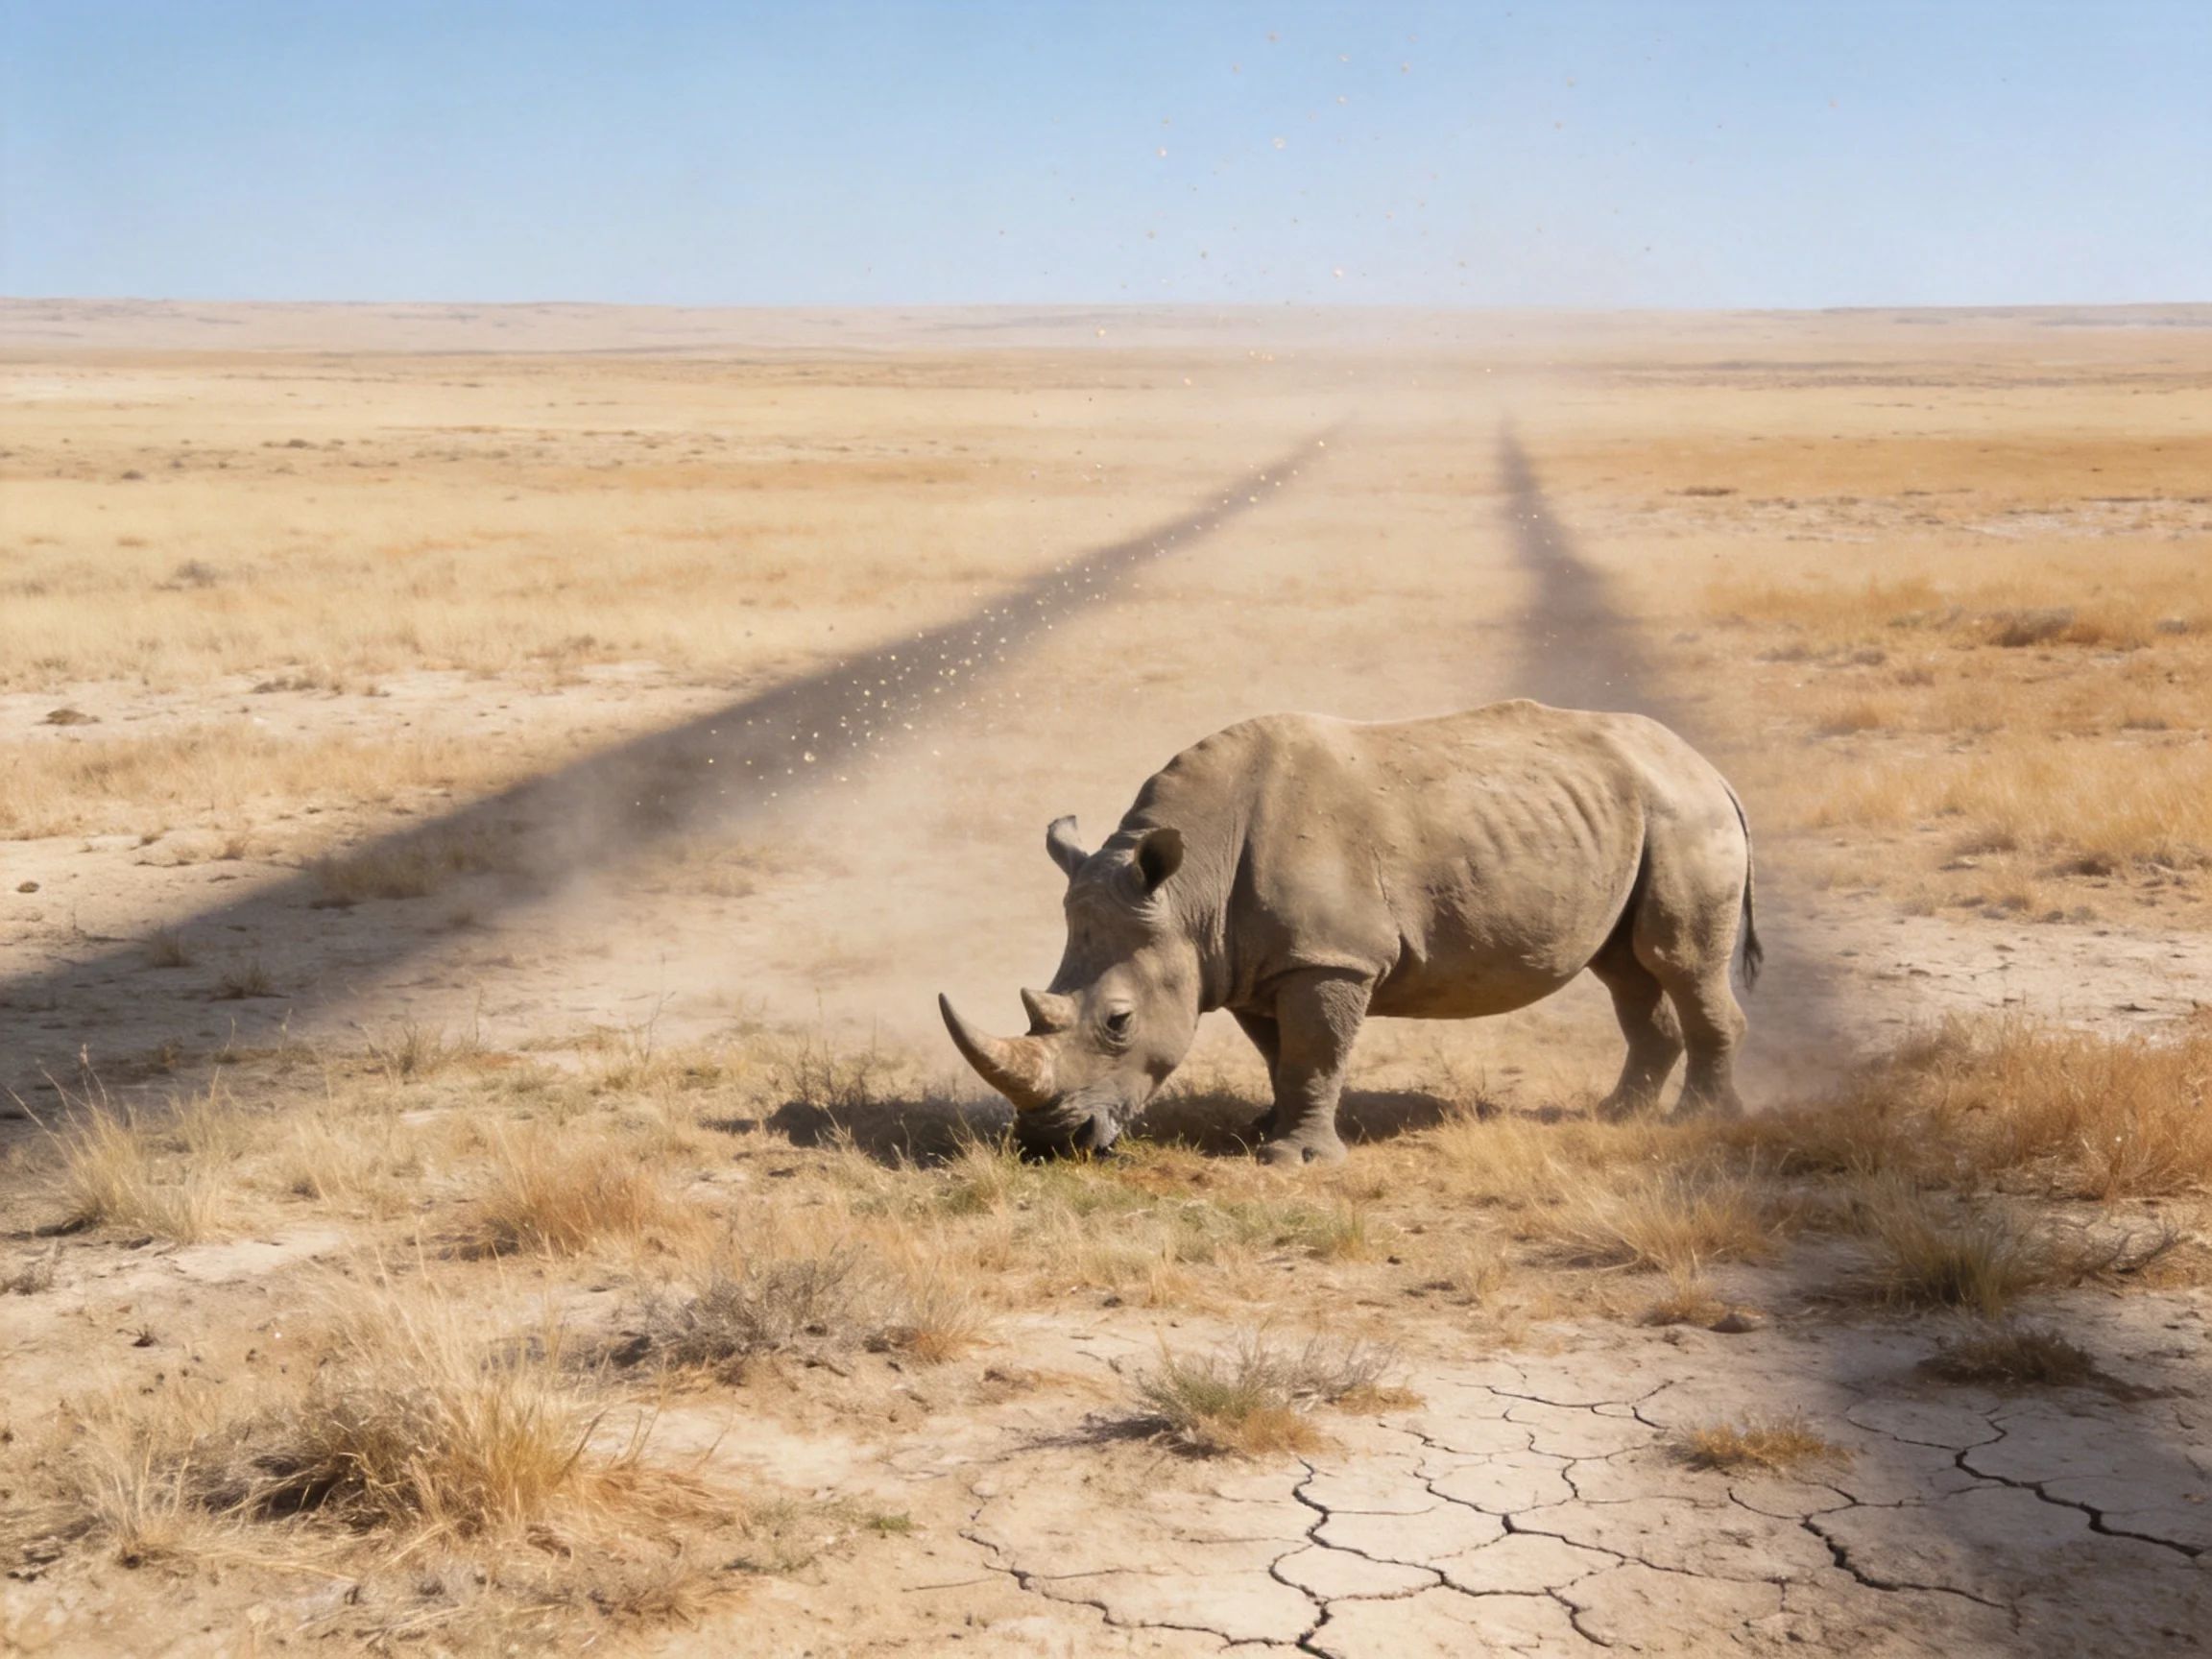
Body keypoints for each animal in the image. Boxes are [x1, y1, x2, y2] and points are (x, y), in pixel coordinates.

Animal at [939, 701, 1761, 1163]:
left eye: (1118, 1022)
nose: (1049, 1145)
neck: (1187, 892)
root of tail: (1710, 768)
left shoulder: (1329, 958)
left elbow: (1315, 1051)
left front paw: (1293, 1161)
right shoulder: (1252, 961)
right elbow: (1283, 1055)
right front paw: (1263, 1130)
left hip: (1685, 815)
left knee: (1678, 962)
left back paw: (1698, 1123)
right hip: (1636, 817)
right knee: (1625, 969)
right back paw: (1618, 1117)